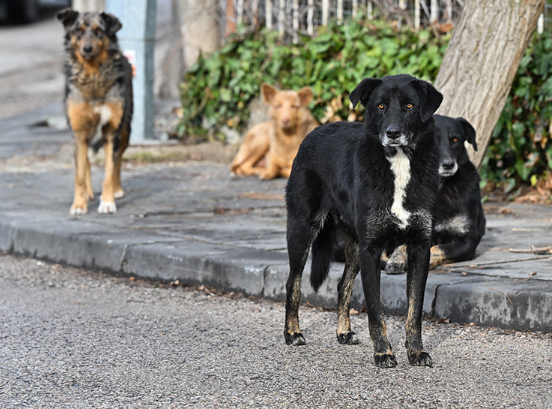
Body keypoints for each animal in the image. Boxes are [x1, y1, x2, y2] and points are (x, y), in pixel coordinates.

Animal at [56, 7, 133, 215]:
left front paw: (107, 202)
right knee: (87, 163)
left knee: (118, 160)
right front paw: (78, 204)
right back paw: (89, 194)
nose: (87, 49)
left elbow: (109, 171)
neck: (93, 75)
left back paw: (117, 190)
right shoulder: (78, 132)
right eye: (79, 31)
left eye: (99, 31)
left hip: (125, 131)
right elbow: (79, 174)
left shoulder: (112, 131)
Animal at [282, 73, 442, 366]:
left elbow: (415, 311)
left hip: (354, 244)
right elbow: (375, 311)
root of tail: (314, 131)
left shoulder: (419, 247)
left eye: (410, 105)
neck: (398, 162)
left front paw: (415, 351)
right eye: (380, 106)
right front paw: (383, 352)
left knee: (342, 284)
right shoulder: (371, 249)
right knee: (293, 283)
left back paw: (343, 332)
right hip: (302, 228)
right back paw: (292, 332)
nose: (392, 133)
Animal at [386, 115, 486, 272]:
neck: (439, 187)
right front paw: (396, 260)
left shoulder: (467, 240)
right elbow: (401, 246)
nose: (448, 164)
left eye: (455, 140)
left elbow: (437, 249)